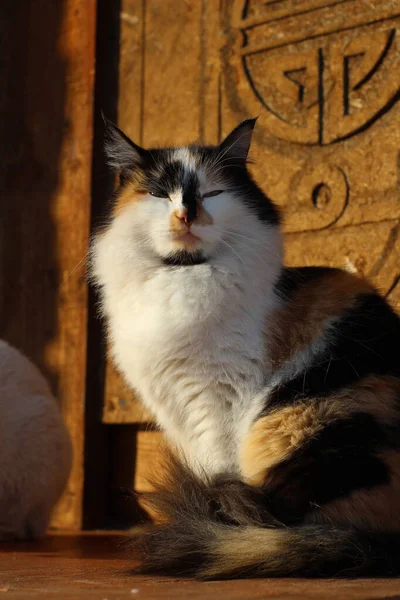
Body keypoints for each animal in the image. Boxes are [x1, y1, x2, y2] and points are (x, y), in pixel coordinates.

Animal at [92, 117, 400, 576]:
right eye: (159, 194)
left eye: (213, 193)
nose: (187, 213)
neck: (182, 280)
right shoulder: (176, 409)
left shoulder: (221, 400)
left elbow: (217, 465)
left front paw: (209, 520)